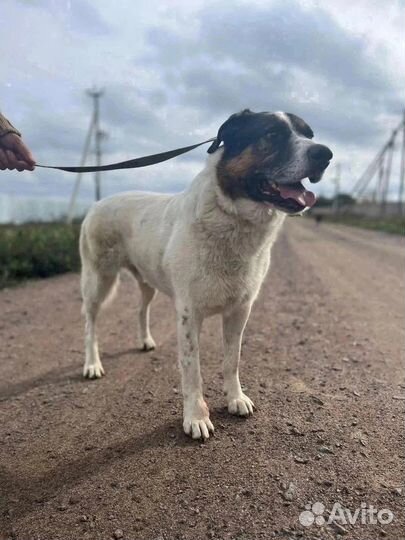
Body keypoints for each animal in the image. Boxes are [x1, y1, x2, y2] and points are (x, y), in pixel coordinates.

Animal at [79, 108, 332, 438]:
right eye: (271, 134)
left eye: (309, 135)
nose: (326, 154)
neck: (232, 217)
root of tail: (98, 202)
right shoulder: (189, 315)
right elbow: (192, 370)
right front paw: (196, 417)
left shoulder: (240, 310)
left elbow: (231, 360)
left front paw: (235, 398)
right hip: (99, 279)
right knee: (90, 322)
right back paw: (92, 364)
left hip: (147, 281)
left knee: (141, 308)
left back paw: (145, 340)